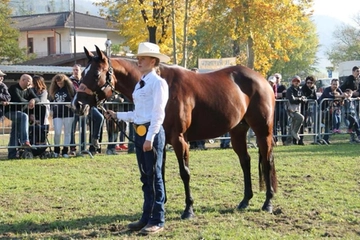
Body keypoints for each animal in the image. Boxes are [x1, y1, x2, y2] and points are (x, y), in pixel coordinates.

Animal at [71, 45, 278, 219]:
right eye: (82, 74)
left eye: (96, 74)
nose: (77, 104)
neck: (163, 88)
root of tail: (262, 80)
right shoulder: (158, 140)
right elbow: (159, 171)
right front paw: (160, 203)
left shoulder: (180, 140)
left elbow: (184, 173)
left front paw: (188, 209)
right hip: (237, 131)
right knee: (245, 161)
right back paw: (245, 200)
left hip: (263, 132)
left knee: (267, 162)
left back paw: (268, 203)